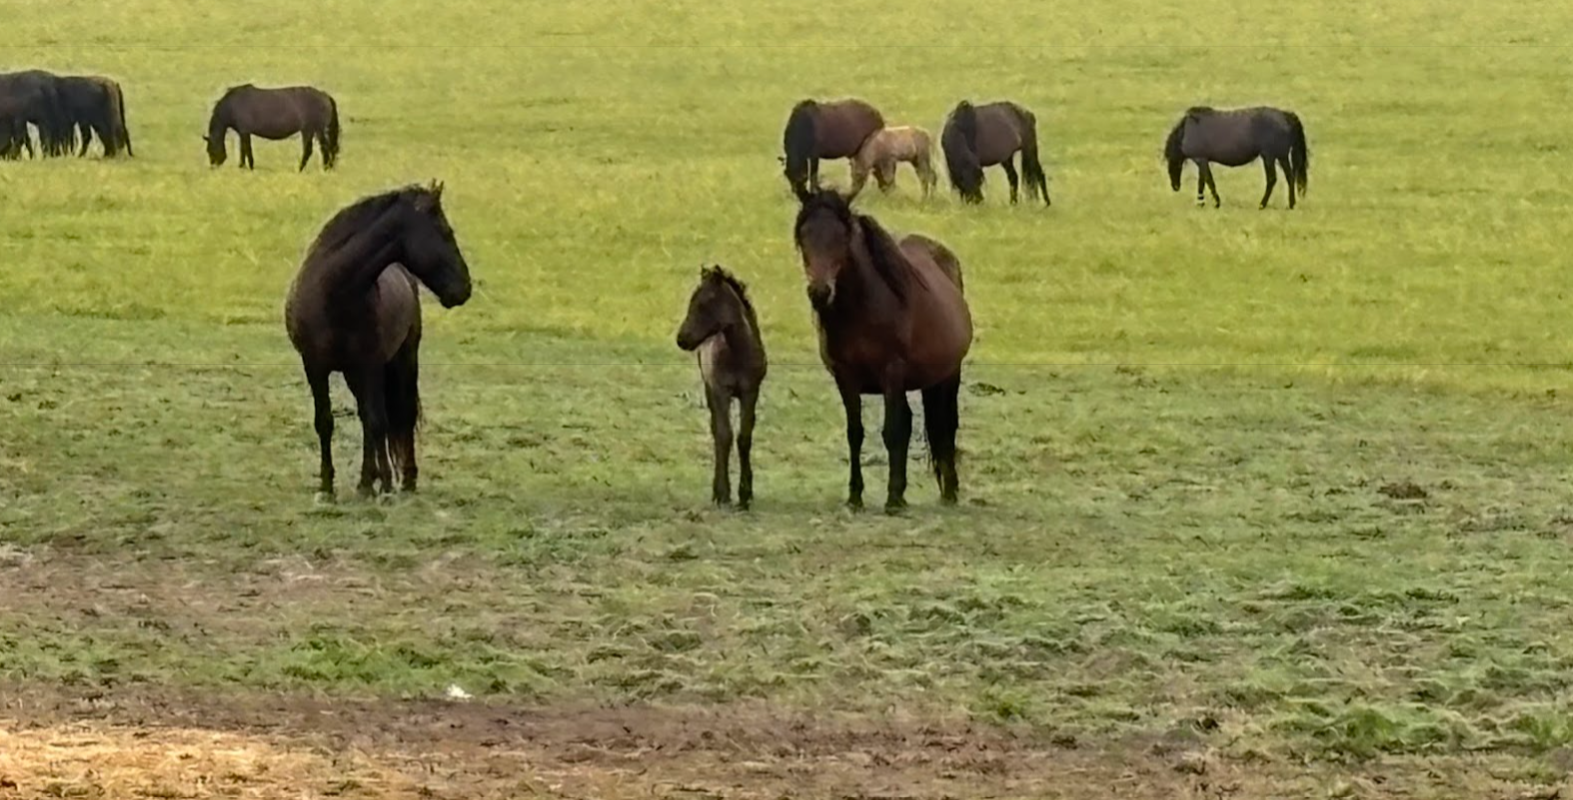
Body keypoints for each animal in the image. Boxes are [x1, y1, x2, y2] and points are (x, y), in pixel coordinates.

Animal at [204, 83, 339, 169]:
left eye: (209, 149)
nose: (213, 166)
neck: (232, 105)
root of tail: (324, 95)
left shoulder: (244, 131)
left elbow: (247, 150)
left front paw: (250, 167)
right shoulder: (243, 133)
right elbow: (243, 150)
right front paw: (242, 167)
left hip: (311, 129)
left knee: (315, 149)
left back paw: (307, 169)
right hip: (312, 130)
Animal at [286, 180, 471, 499]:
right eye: (446, 232)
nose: (465, 288)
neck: (334, 293)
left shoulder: (369, 365)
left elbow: (377, 421)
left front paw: (382, 483)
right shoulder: (315, 366)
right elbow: (326, 422)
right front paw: (327, 487)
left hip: (403, 359)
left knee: (399, 415)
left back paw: (402, 480)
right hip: (355, 373)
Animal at [676, 265, 767, 509]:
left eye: (704, 303)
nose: (681, 339)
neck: (737, 353)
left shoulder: (750, 392)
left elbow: (744, 437)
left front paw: (745, 494)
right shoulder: (719, 391)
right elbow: (724, 435)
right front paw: (723, 493)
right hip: (710, 390)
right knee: (717, 430)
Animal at [792, 187, 975, 512]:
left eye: (842, 235)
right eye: (803, 235)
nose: (820, 292)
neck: (862, 309)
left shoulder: (892, 372)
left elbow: (893, 431)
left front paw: (892, 498)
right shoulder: (846, 377)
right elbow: (856, 433)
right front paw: (855, 496)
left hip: (948, 374)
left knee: (946, 426)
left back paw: (949, 492)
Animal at [1164, 105, 1308, 209]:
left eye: (1173, 163)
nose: (1175, 186)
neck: (1188, 130)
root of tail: (1285, 115)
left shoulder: (1200, 159)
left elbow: (1208, 181)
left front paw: (1213, 202)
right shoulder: (1202, 160)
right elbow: (1204, 181)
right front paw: (1203, 202)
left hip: (1270, 156)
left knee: (1272, 179)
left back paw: (1262, 204)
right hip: (1281, 157)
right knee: (1290, 178)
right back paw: (1291, 204)